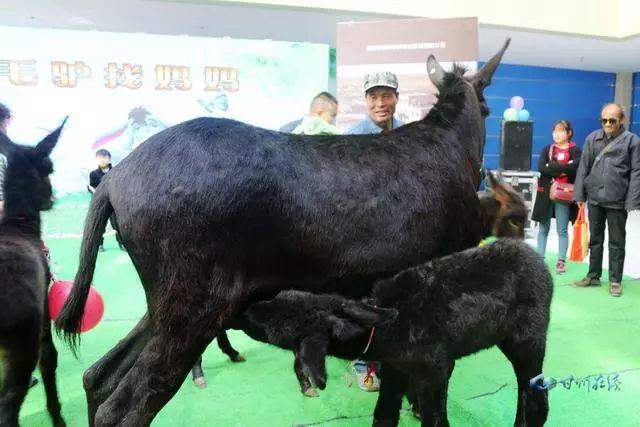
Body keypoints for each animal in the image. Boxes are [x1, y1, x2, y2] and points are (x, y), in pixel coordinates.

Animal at [239, 239, 552, 426]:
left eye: (274, 331)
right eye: (277, 296)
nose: (246, 312)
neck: (383, 332)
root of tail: (536, 258)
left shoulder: (434, 369)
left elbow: (435, 420)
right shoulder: (397, 369)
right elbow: (384, 415)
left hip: (530, 336)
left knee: (536, 397)